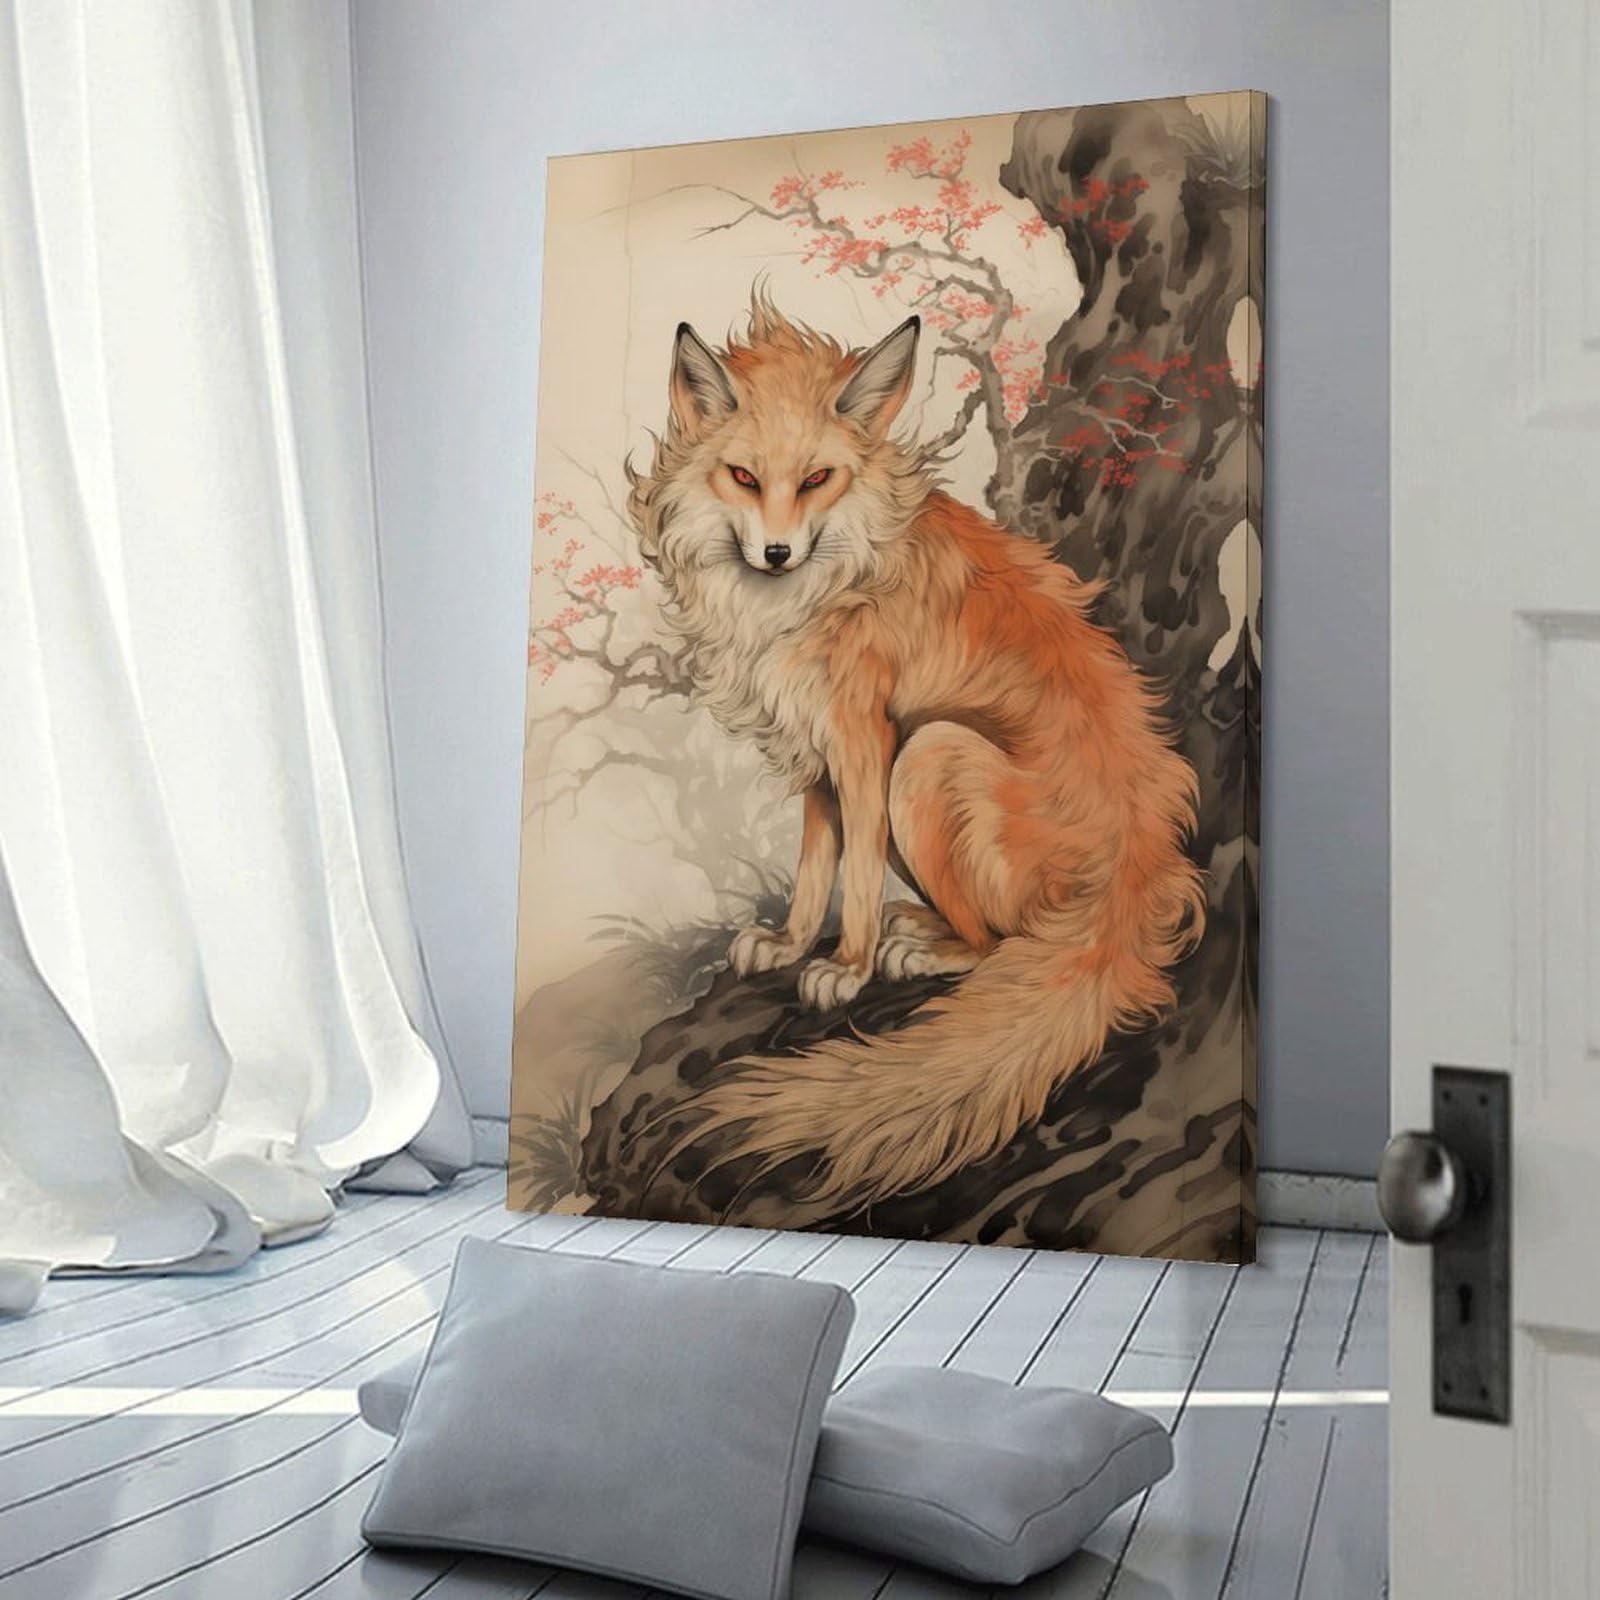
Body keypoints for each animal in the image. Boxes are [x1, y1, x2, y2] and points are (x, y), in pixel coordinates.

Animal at [624, 295, 1206, 1215]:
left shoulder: (866, 739)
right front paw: (791, 946)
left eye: (817, 479)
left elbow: (856, 877)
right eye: (744, 478)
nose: (777, 553)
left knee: (996, 945)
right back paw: (919, 928)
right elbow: (815, 869)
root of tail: (1137, 870)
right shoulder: (818, 757)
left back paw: (919, 950)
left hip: (928, 757)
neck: (820, 590)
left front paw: (845, 967)